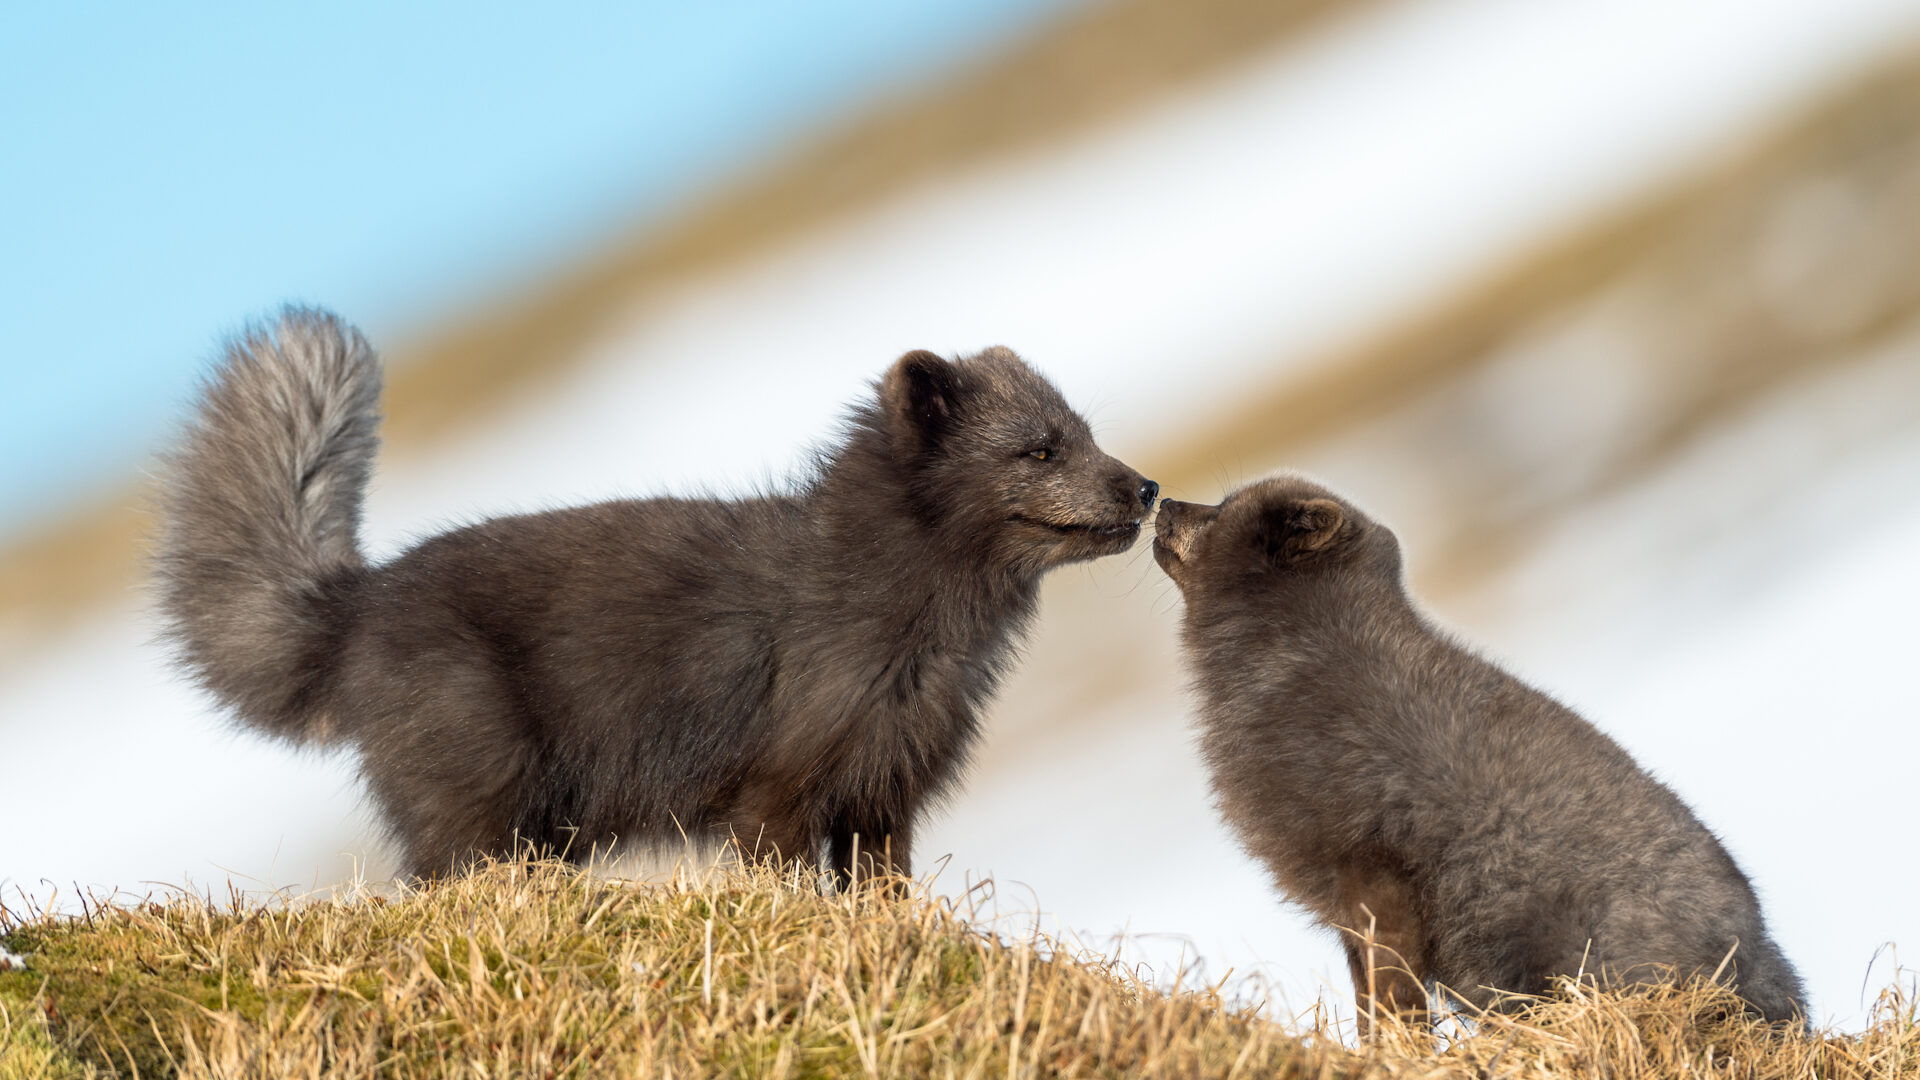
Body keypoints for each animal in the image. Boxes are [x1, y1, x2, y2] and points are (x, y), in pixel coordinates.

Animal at [157, 307, 1152, 880]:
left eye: (1084, 432)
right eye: (1040, 449)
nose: (1144, 489)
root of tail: (358, 602)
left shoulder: (881, 802)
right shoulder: (774, 798)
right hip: (484, 799)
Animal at [1152, 474, 1797, 1022]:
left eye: (1222, 509)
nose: (1161, 499)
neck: (1296, 659)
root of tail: (1770, 980)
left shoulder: (1369, 871)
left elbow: (1392, 999)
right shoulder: (1341, 901)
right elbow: (1366, 997)